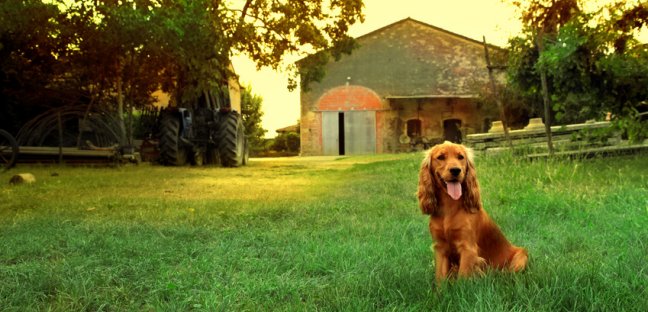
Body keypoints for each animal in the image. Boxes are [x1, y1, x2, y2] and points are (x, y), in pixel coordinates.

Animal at [420, 140, 528, 282]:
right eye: (441, 157)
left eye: (460, 157)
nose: (456, 170)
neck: (449, 208)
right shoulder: (440, 248)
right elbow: (440, 278)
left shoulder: (468, 248)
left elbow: (463, 278)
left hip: (521, 256)